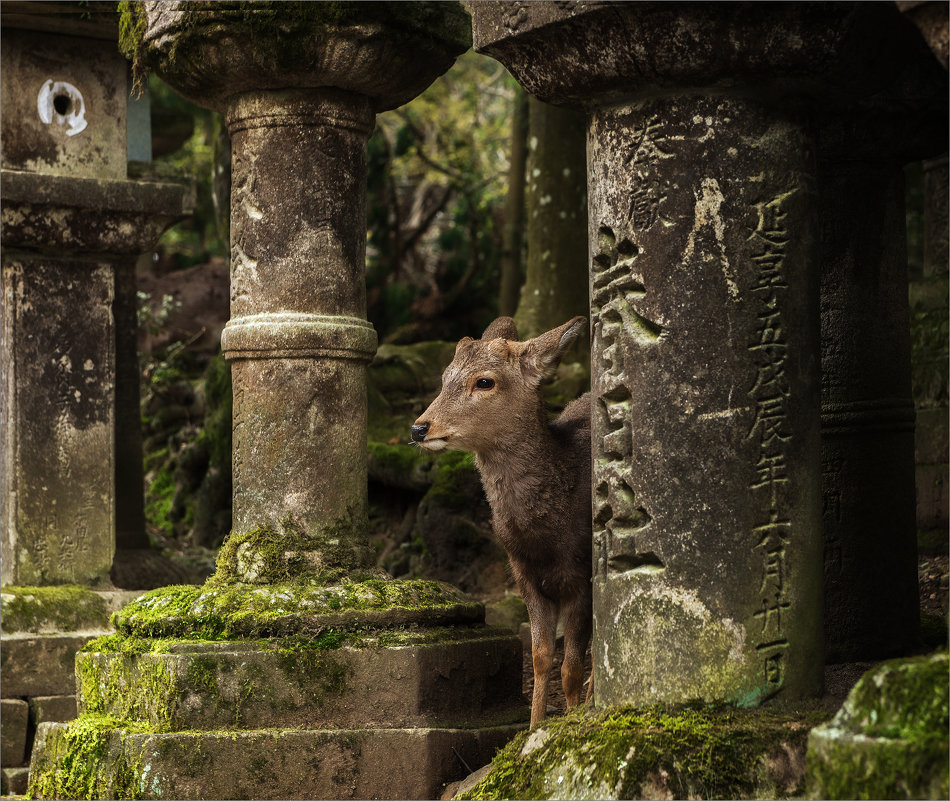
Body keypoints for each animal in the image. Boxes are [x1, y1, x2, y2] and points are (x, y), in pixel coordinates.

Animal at [410, 316, 592, 728]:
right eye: (445, 376)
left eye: (484, 382)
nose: (419, 428)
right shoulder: (523, 575)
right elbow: (540, 657)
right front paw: (533, 727)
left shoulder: (582, 575)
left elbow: (571, 668)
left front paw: (570, 722)